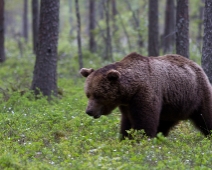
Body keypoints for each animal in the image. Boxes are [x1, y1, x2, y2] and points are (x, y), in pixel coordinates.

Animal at [79, 52, 212, 139]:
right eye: (88, 94)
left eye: (98, 95)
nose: (89, 111)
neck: (131, 90)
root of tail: (195, 64)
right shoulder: (127, 104)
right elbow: (127, 123)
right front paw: (125, 138)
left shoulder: (146, 93)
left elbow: (144, 122)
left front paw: (141, 140)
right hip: (172, 107)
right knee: (164, 124)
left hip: (198, 93)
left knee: (205, 116)